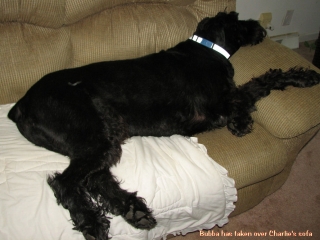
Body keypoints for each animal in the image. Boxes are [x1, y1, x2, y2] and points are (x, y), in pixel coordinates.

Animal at [6, 12, 320, 239]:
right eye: (238, 20)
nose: (259, 26)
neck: (205, 48)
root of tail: (21, 104)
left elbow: (253, 87)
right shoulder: (217, 107)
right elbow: (256, 86)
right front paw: (249, 115)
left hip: (103, 134)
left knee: (94, 177)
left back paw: (133, 210)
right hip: (93, 134)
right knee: (66, 181)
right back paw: (93, 223)